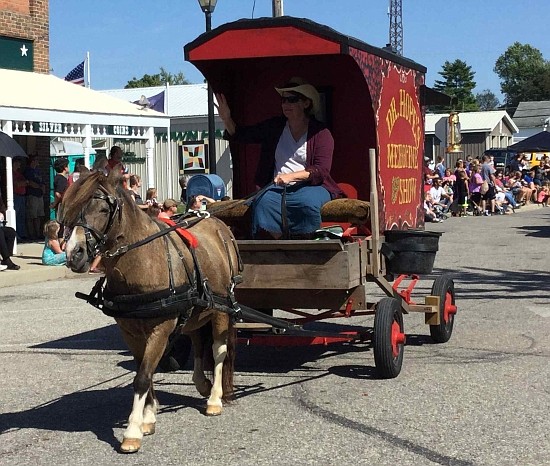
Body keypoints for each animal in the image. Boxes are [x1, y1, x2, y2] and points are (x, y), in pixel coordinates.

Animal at [59, 169, 243, 454]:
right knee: (198, 342)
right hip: (197, 310)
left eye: (103, 209)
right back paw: (201, 383)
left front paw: (133, 431)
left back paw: (214, 398)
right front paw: (148, 416)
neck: (143, 261)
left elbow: (143, 376)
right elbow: (143, 368)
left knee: (218, 350)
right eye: (71, 208)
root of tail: (217, 222)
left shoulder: (160, 328)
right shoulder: (130, 330)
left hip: (221, 308)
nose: (74, 254)